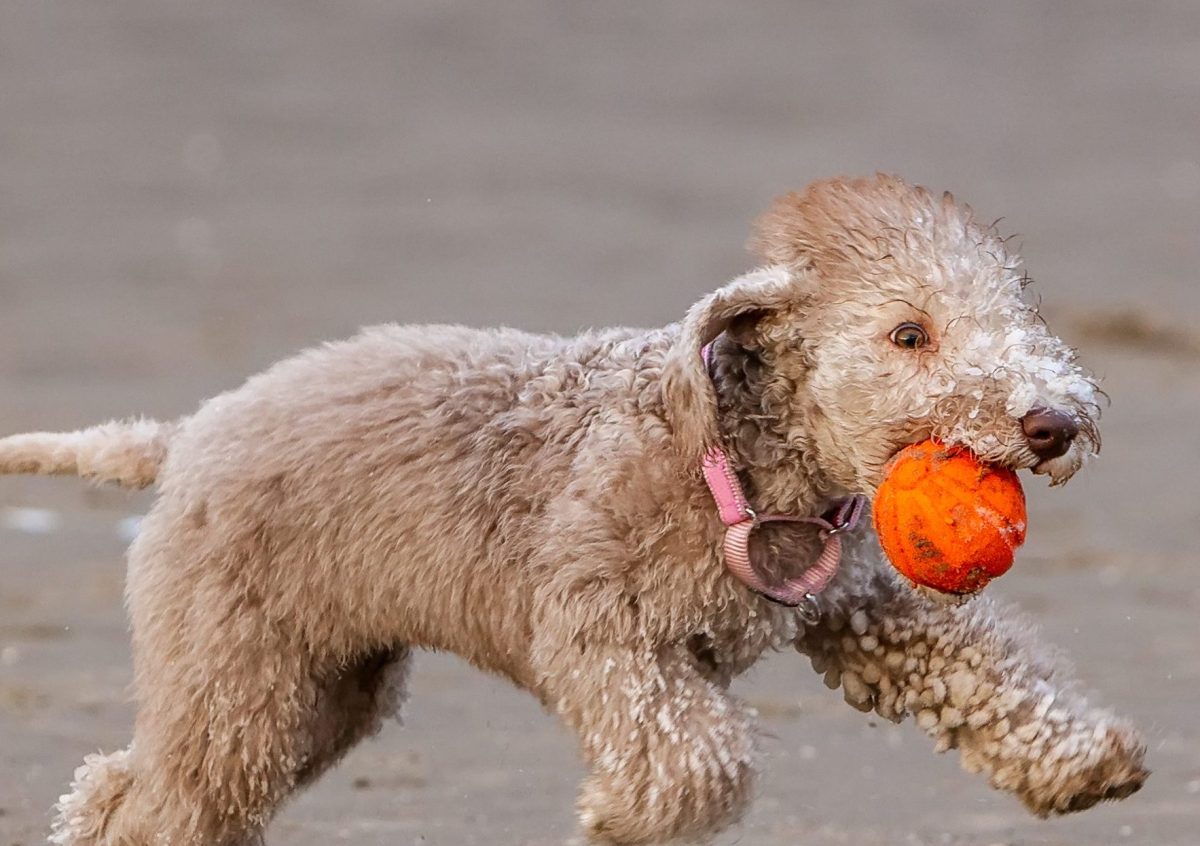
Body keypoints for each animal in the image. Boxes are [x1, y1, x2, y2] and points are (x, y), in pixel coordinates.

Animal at [0, 175, 1142, 840]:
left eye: (1019, 315)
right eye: (909, 333)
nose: (1053, 421)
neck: (750, 471)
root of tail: (182, 435)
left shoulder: (866, 608)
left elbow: (984, 672)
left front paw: (1085, 762)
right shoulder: (600, 625)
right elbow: (697, 751)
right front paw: (624, 816)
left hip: (319, 690)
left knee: (125, 790)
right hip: (236, 671)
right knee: (161, 799)